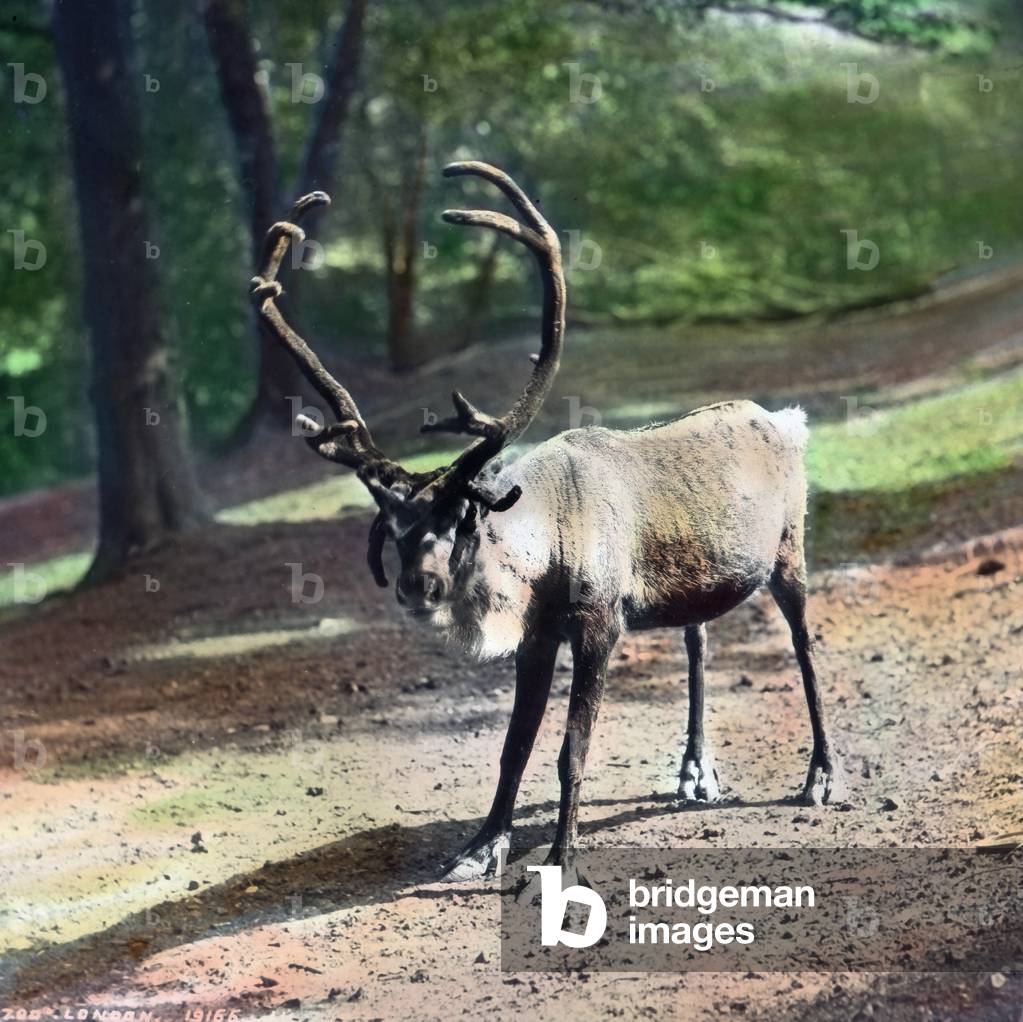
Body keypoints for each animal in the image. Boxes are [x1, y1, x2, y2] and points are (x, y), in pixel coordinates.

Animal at [248, 161, 843, 883]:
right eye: (392, 527)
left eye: (465, 519)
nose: (417, 587)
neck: (547, 551)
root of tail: (787, 419)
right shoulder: (537, 635)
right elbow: (513, 747)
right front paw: (479, 848)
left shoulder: (598, 620)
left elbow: (570, 748)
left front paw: (561, 858)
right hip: (698, 579)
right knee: (698, 637)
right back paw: (694, 773)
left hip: (790, 547)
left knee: (805, 645)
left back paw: (819, 777)